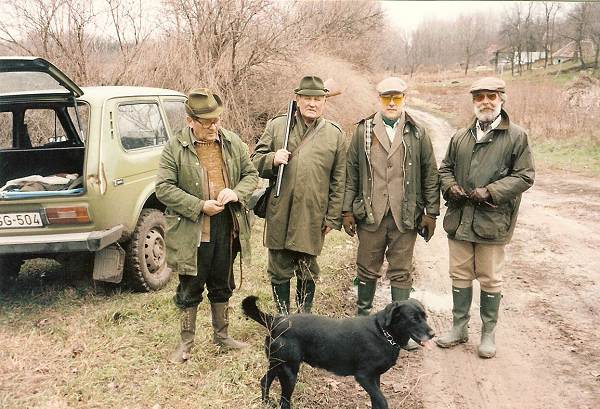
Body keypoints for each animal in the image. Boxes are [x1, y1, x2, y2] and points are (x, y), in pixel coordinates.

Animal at [241, 294, 434, 406]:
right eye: (413, 319)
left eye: (425, 316)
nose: (433, 334)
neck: (383, 332)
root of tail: (276, 321)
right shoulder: (364, 376)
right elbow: (382, 400)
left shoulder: (375, 378)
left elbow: (376, 401)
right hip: (289, 372)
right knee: (284, 401)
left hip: (277, 364)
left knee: (264, 382)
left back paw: (266, 403)